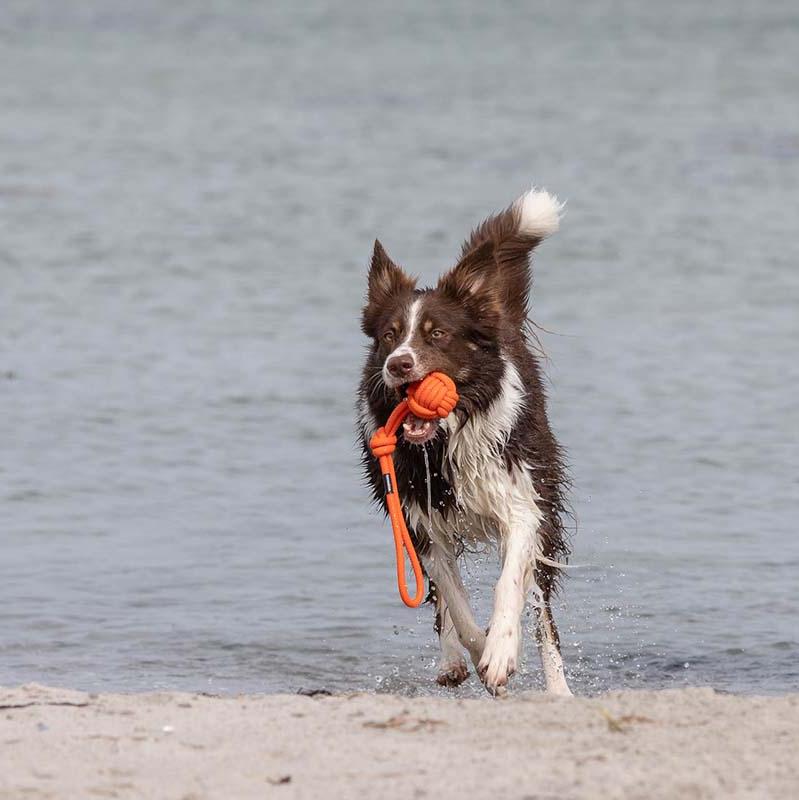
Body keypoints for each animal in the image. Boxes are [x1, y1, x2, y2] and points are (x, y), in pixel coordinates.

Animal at [360, 186, 572, 692]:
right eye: (389, 335)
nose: (397, 364)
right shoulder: (418, 518)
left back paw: (559, 688)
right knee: (439, 598)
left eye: (437, 334)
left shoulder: (522, 504)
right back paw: (451, 661)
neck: (443, 441)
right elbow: (452, 598)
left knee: (544, 614)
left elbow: (509, 582)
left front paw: (500, 650)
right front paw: (480, 649)